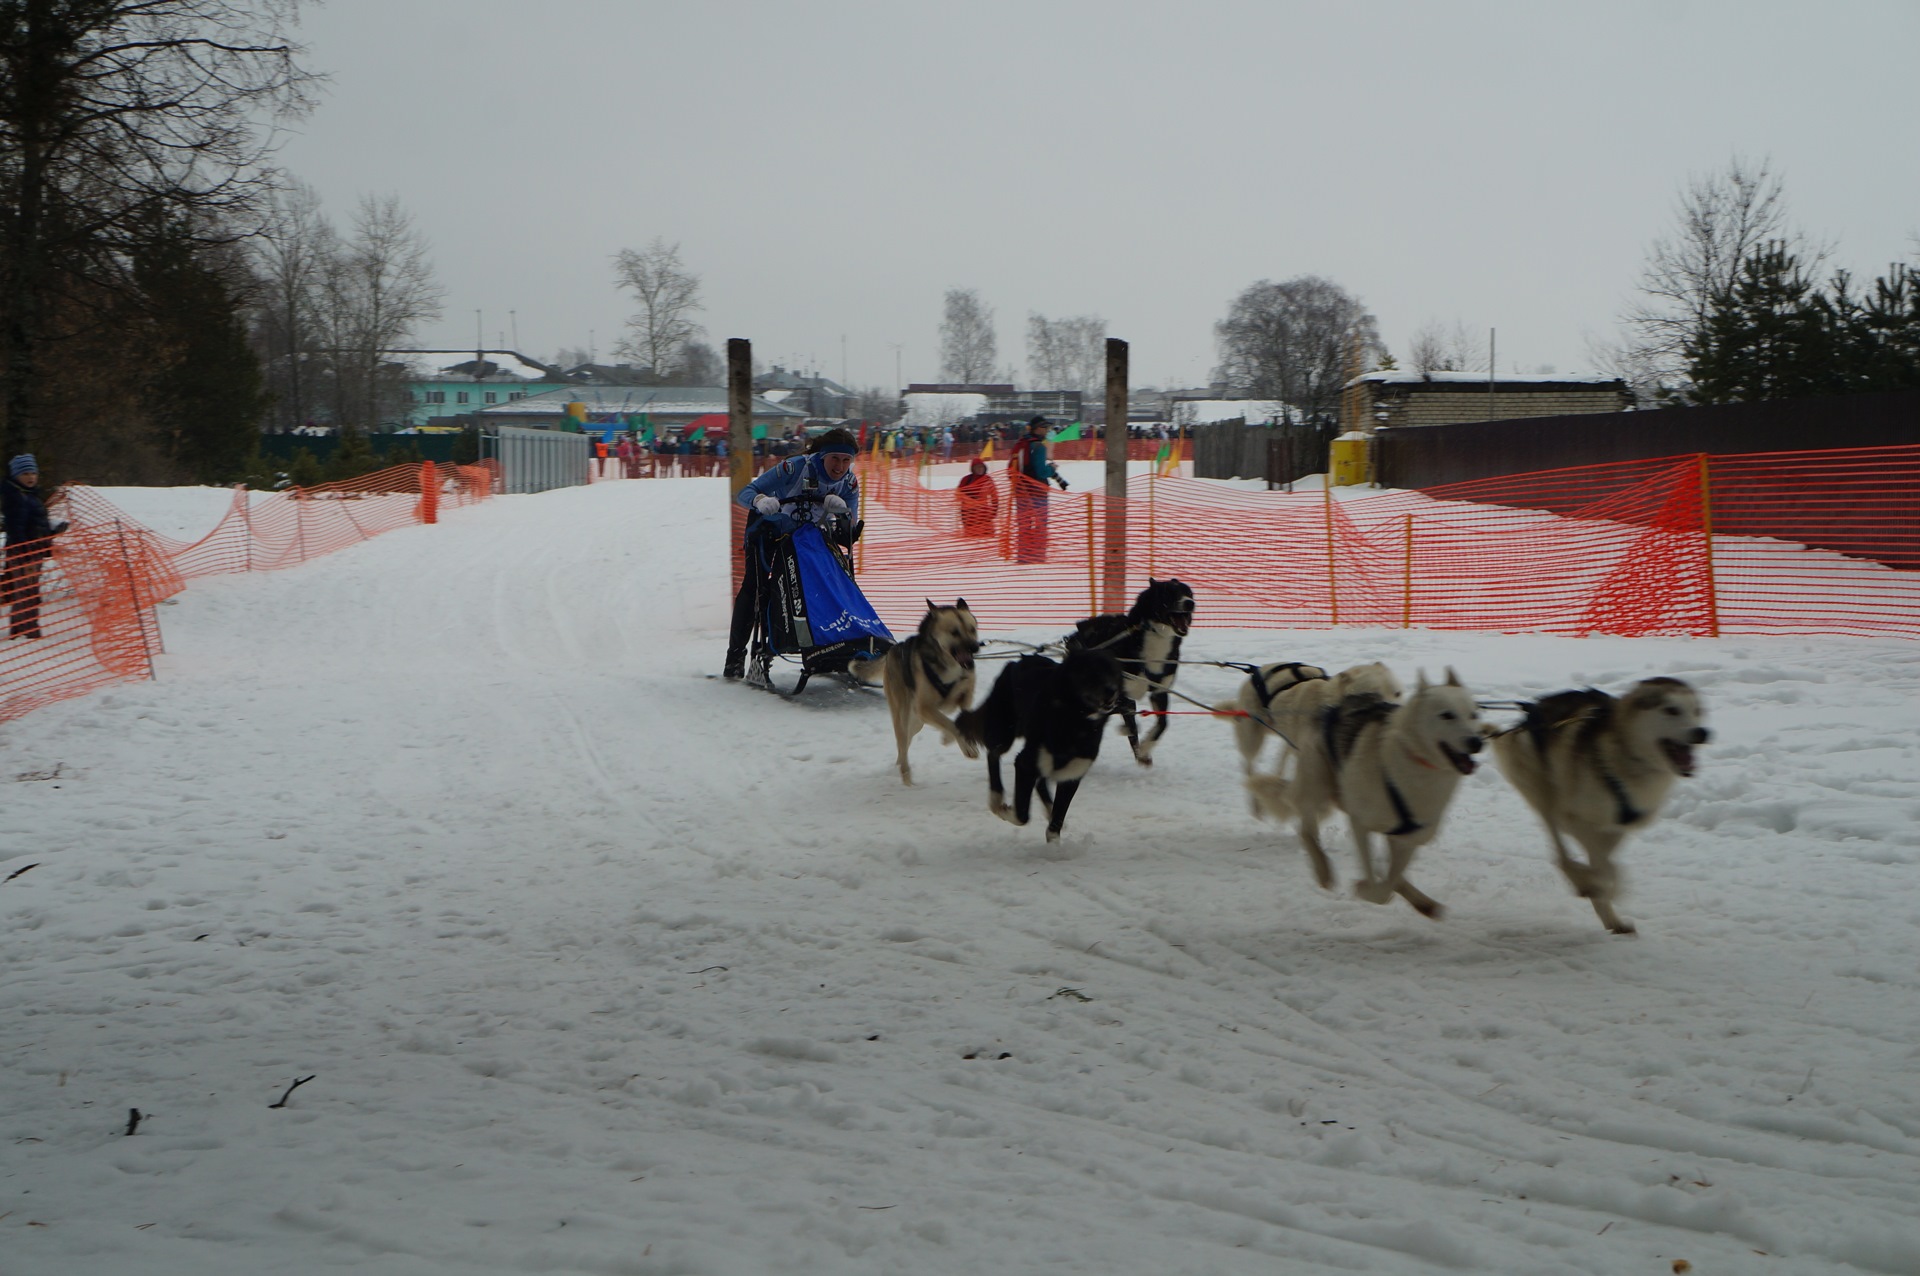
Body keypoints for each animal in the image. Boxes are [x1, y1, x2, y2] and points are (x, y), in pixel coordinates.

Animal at [852, 598, 975, 786]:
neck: (948, 665)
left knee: (905, 743)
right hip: (903, 716)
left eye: (972, 629)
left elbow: (959, 720)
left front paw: (952, 738)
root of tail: (891, 651)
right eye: (955, 632)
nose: (975, 647)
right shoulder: (925, 707)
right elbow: (951, 724)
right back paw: (906, 776)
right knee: (902, 744)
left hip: (917, 721)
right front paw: (964, 745)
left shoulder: (964, 696)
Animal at [956, 652, 1121, 840]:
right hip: (1003, 734)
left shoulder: (1072, 775)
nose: (1112, 690)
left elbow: (1056, 823)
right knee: (993, 755)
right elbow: (1021, 815)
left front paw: (1054, 844)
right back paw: (996, 798)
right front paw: (1006, 811)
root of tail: (1016, 661)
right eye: (1091, 670)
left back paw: (1048, 808)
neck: (1075, 722)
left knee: (1040, 782)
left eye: (1114, 672)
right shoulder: (1025, 764)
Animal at [1067, 579, 1198, 767]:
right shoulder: (1120, 695)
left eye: (1189, 593)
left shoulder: (1159, 692)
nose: (1190, 603)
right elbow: (1130, 724)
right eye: (1169, 593)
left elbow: (1162, 723)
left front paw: (1144, 749)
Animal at [1244, 667, 1482, 917]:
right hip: (1316, 785)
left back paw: (1423, 902)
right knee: (1305, 828)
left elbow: (1388, 883)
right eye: (1447, 715)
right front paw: (1363, 888)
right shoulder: (1361, 823)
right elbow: (1377, 885)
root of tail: (1330, 707)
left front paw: (1386, 888)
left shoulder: (1407, 840)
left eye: (1474, 715)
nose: (1476, 741)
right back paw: (1323, 870)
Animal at [1497, 675, 1712, 936]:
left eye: (1697, 711)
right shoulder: (1576, 820)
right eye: (1671, 709)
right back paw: (1581, 879)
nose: (1702, 732)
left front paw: (1604, 892)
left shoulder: (1616, 829)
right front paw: (1594, 884)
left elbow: (1609, 868)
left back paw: (1610, 915)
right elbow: (1605, 870)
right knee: (1560, 852)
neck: (1629, 760)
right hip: (1545, 796)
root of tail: (1531, 712)